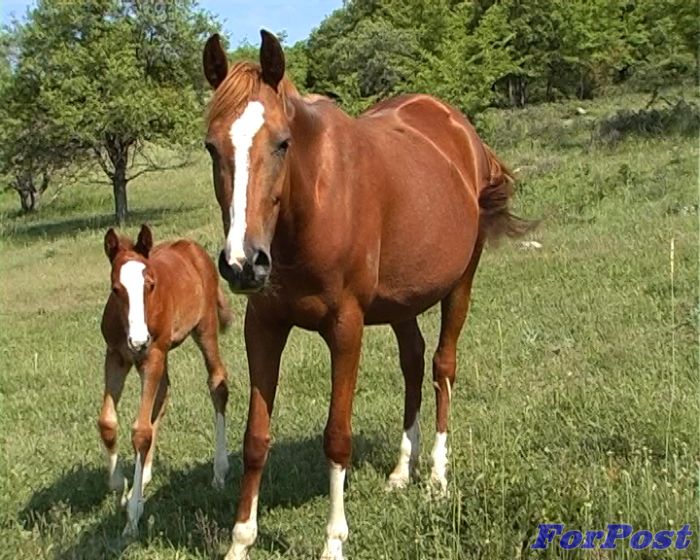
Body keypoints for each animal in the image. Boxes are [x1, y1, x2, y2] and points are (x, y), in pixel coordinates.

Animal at [97, 224, 233, 536]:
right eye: (116, 289)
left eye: (150, 285)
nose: (138, 341)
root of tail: (193, 248)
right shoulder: (116, 356)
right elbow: (108, 421)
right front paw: (120, 485)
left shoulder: (153, 356)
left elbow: (141, 431)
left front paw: (132, 518)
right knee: (163, 396)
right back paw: (144, 476)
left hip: (204, 329)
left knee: (217, 383)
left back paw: (219, 473)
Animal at [202, 30, 532, 560]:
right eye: (212, 147)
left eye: (282, 143)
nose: (242, 262)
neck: (313, 206)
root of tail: (460, 128)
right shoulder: (264, 326)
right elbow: (255, 438)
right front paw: (240, 542)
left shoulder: (346, 327)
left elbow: (337, 437)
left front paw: (334, 540)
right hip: (402, 302)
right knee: (413, 362)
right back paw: (401, 470)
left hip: (460, 284)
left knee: (442, 367)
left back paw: (436, 476)